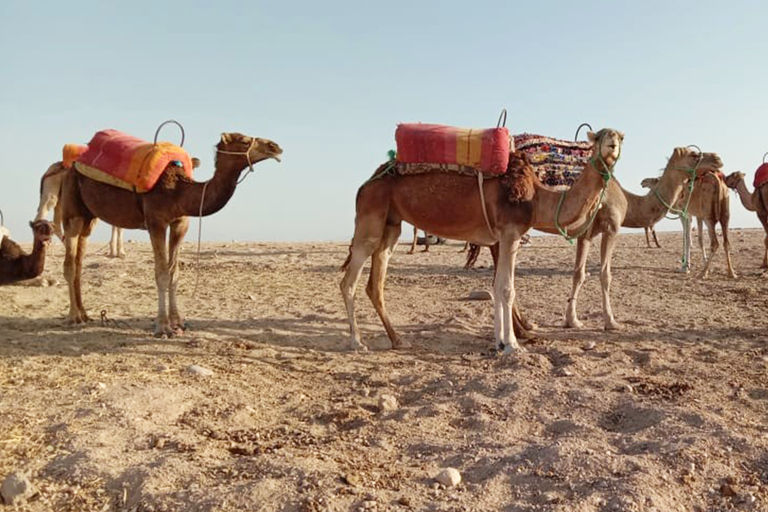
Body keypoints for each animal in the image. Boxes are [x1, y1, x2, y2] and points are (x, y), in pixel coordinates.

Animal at [58, 133, 282, 336]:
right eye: (244, 140)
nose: (275, 147)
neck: (179, 192)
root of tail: (74, 163)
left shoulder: (180, 223)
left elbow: (175, 272)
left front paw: (178, 322)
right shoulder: (156, 222)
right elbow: (162, 273)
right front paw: (162, 326)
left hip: (89, 217)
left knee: (79, 261)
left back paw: (84, 314)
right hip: (72, 209)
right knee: (70, 263)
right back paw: (73, 316)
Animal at [340, 127, 624, 356]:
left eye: (620, 136)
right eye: (600, 136)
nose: (611, 144)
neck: (536, 198)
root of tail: (366, 183)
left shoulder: (505, 237)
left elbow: (498, 287)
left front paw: (501, 341)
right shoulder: (510, 233)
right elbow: (507, 289)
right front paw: (513, 345)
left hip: (391, 224)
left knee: (375, 284)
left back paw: (398, 340)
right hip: (370, 217)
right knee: (349, 281)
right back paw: (357, 342)